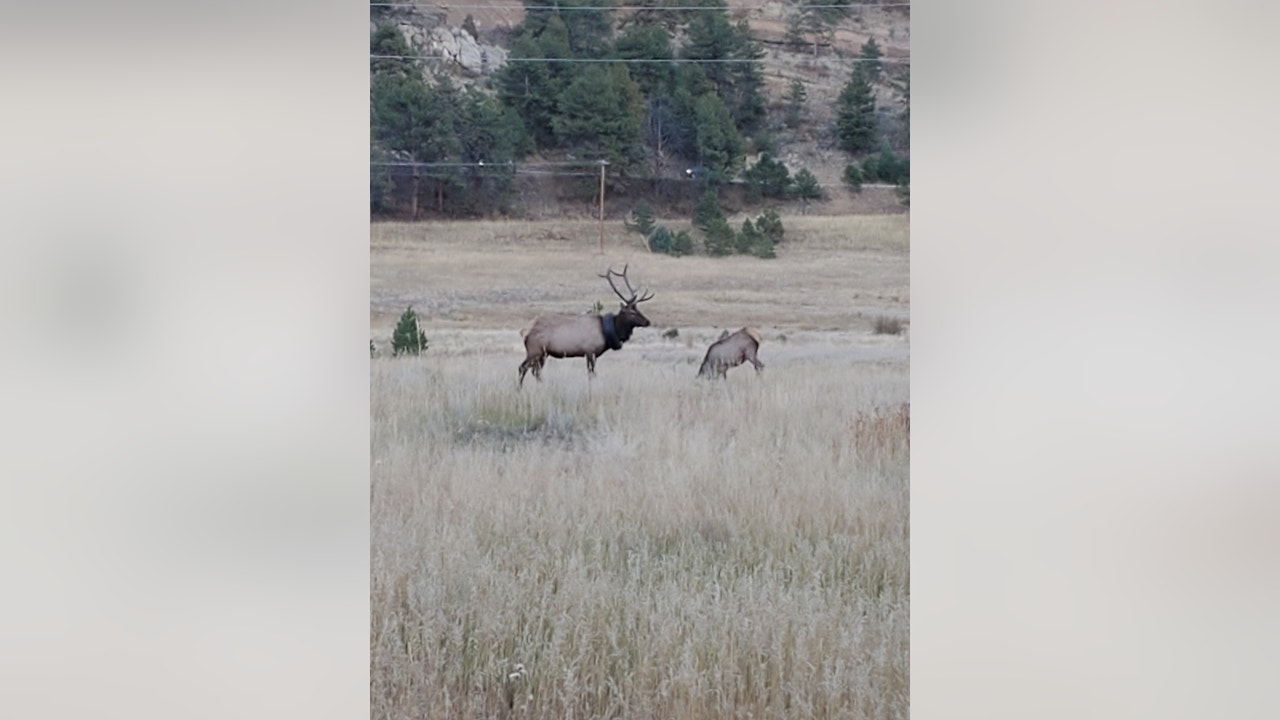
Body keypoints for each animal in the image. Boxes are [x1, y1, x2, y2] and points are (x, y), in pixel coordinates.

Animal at [518, 265, 654, 387]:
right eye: (631, 312)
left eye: (638, 309)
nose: (647, 321)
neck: (606, 333)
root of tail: (524, 331)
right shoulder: (590, 351)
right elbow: (591, 374)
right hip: (535, 350)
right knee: (522, 368)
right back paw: (519, 390)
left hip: (543, 354)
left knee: (536, 372)